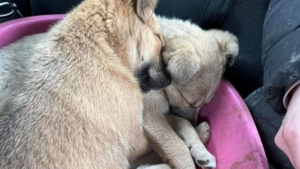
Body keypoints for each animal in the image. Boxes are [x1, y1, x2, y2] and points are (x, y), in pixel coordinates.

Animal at [139, 16, 239, 169]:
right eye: (189, 102)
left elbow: (184, 124)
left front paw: (200, 150)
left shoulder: (162, 112)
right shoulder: (150, 114)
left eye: (205, 104)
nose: (194, 121)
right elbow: (178, 147)